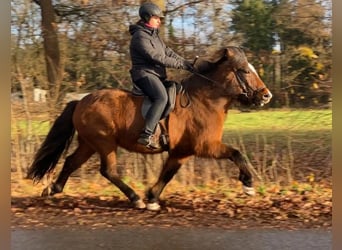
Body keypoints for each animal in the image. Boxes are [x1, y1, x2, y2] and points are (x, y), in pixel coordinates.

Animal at [26, 45, 272, 211]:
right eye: (245, 71)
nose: (266, 96)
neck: (203, 100)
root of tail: (80, 101)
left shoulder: (181, 152)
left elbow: (168, 174)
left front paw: (153, 197)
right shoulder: (206, 146)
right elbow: (237, 154)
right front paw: (248, 185)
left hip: (89, 143)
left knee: (71, 162)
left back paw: (52, 190)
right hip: (104, 143)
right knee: (108, 171)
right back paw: (135, 199)